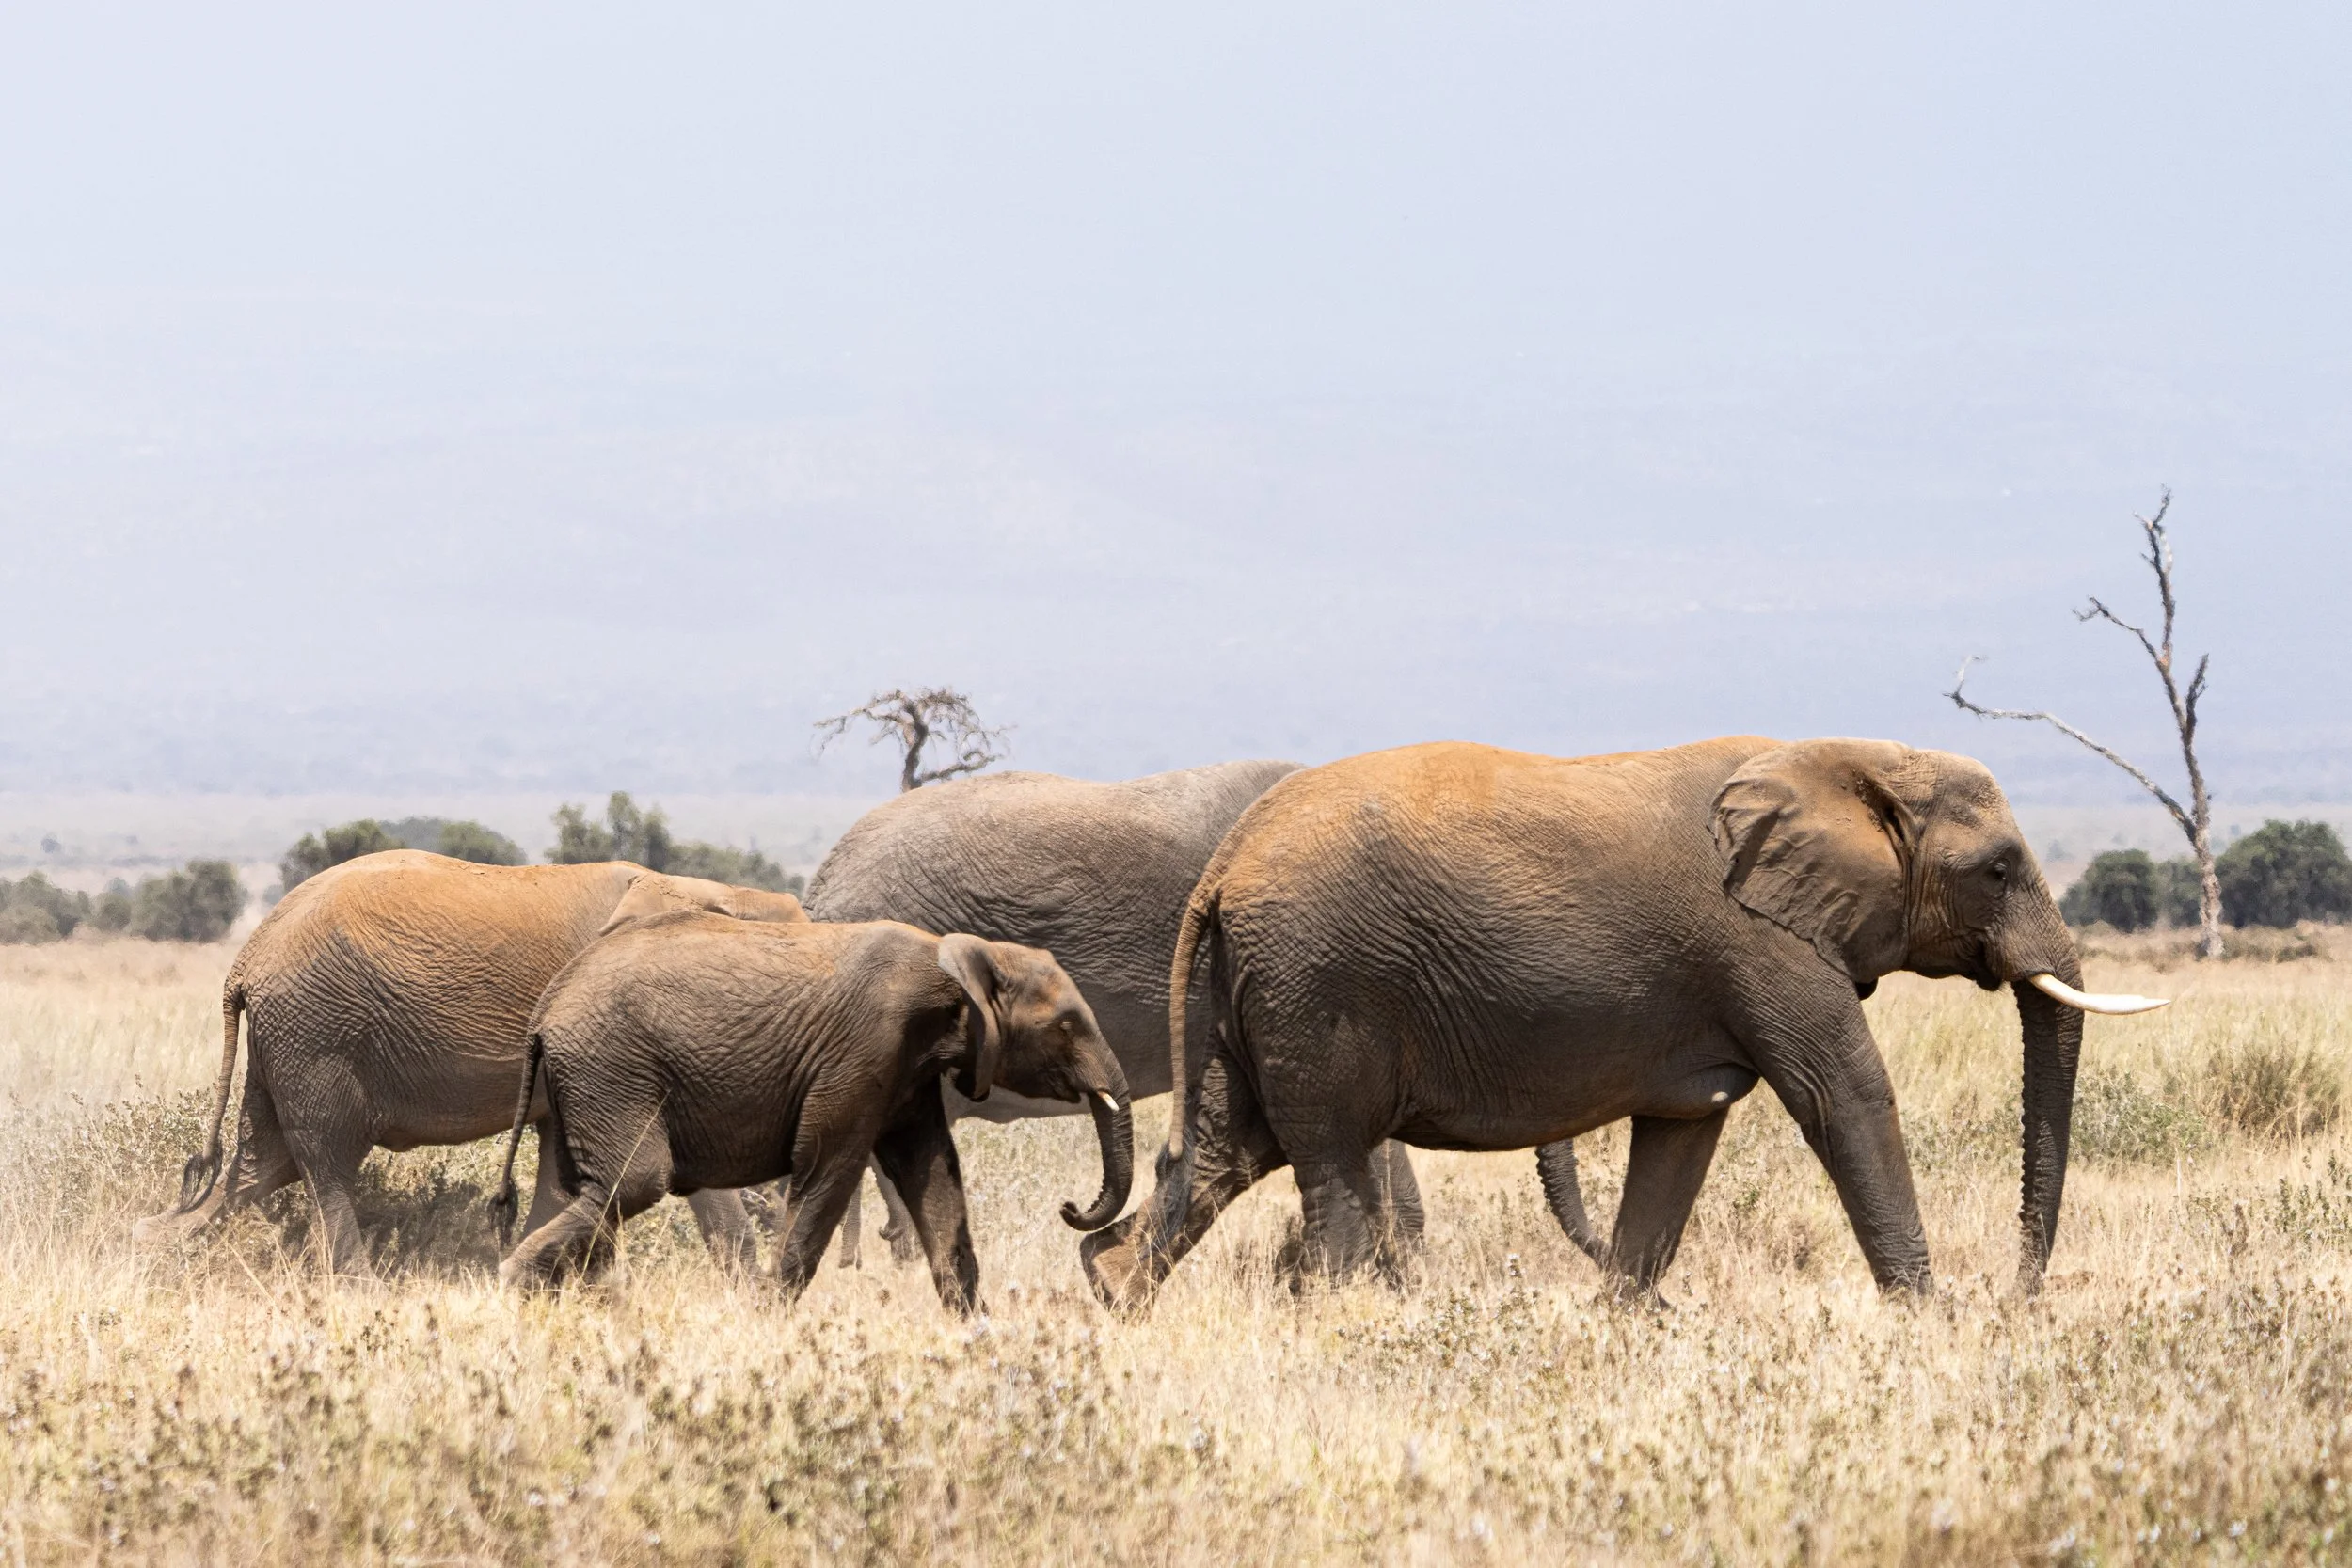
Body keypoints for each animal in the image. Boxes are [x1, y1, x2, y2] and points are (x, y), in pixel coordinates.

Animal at [134, 851, 810, 1274]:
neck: (702, 889)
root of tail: (245, 959)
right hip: (318, 1033)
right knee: (324, 1159)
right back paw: (356, 1288)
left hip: (287, 1041)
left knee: (259, 1167)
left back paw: (151, 1256)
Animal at [491, 915, 1134, 1311]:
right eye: (1066, 1026)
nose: (1070, 1207)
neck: (956, 956)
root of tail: (546, 1008)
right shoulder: (864, 1049)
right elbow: (830, 1169)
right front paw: (766, 1321)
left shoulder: (907, 1068)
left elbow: (931, 1175)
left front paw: (976, 1331)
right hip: (611, 1069)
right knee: (633, 1184)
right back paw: (515, 1287)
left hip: (588, 1081)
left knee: (584, 1191)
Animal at [1081, 736, 2167, 1311]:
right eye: (1998, 869)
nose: (2018, 1292)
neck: (1845, 755)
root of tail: (1224, 865)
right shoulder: (1764, 942)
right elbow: (1845, 1094)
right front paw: (1925, 1317)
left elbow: (1682, 1136)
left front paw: (1626, 1318)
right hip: (1320, 984)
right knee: (1331, 1160)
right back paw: (1349, 1322)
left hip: (1257, 991)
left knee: (1223, 1151)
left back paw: (1111, 1294)